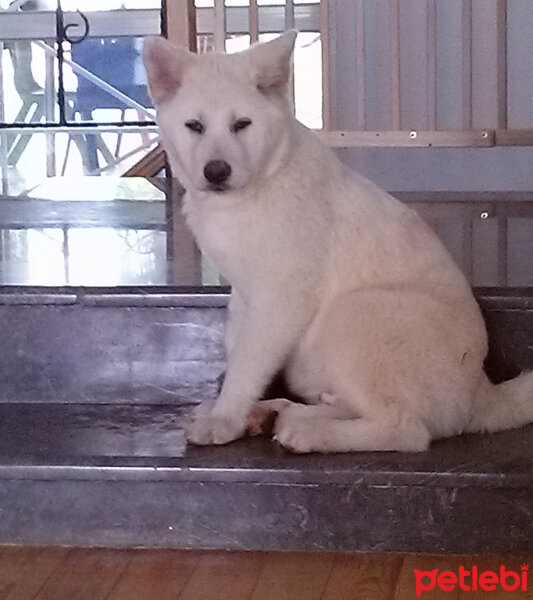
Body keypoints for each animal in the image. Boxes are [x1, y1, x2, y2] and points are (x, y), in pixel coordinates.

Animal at [142, 30, 532, 452]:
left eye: (242, 124)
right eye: (194, 126)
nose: (216, 172)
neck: (261, 184)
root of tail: (481, 392)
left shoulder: (282, 297)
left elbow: (247, 362)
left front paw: (224, 419)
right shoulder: (244, 296)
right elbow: (238, 351)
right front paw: (234, 411)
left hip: (355, 312)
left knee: (407, 429)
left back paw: (312, 432)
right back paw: (280, 412)